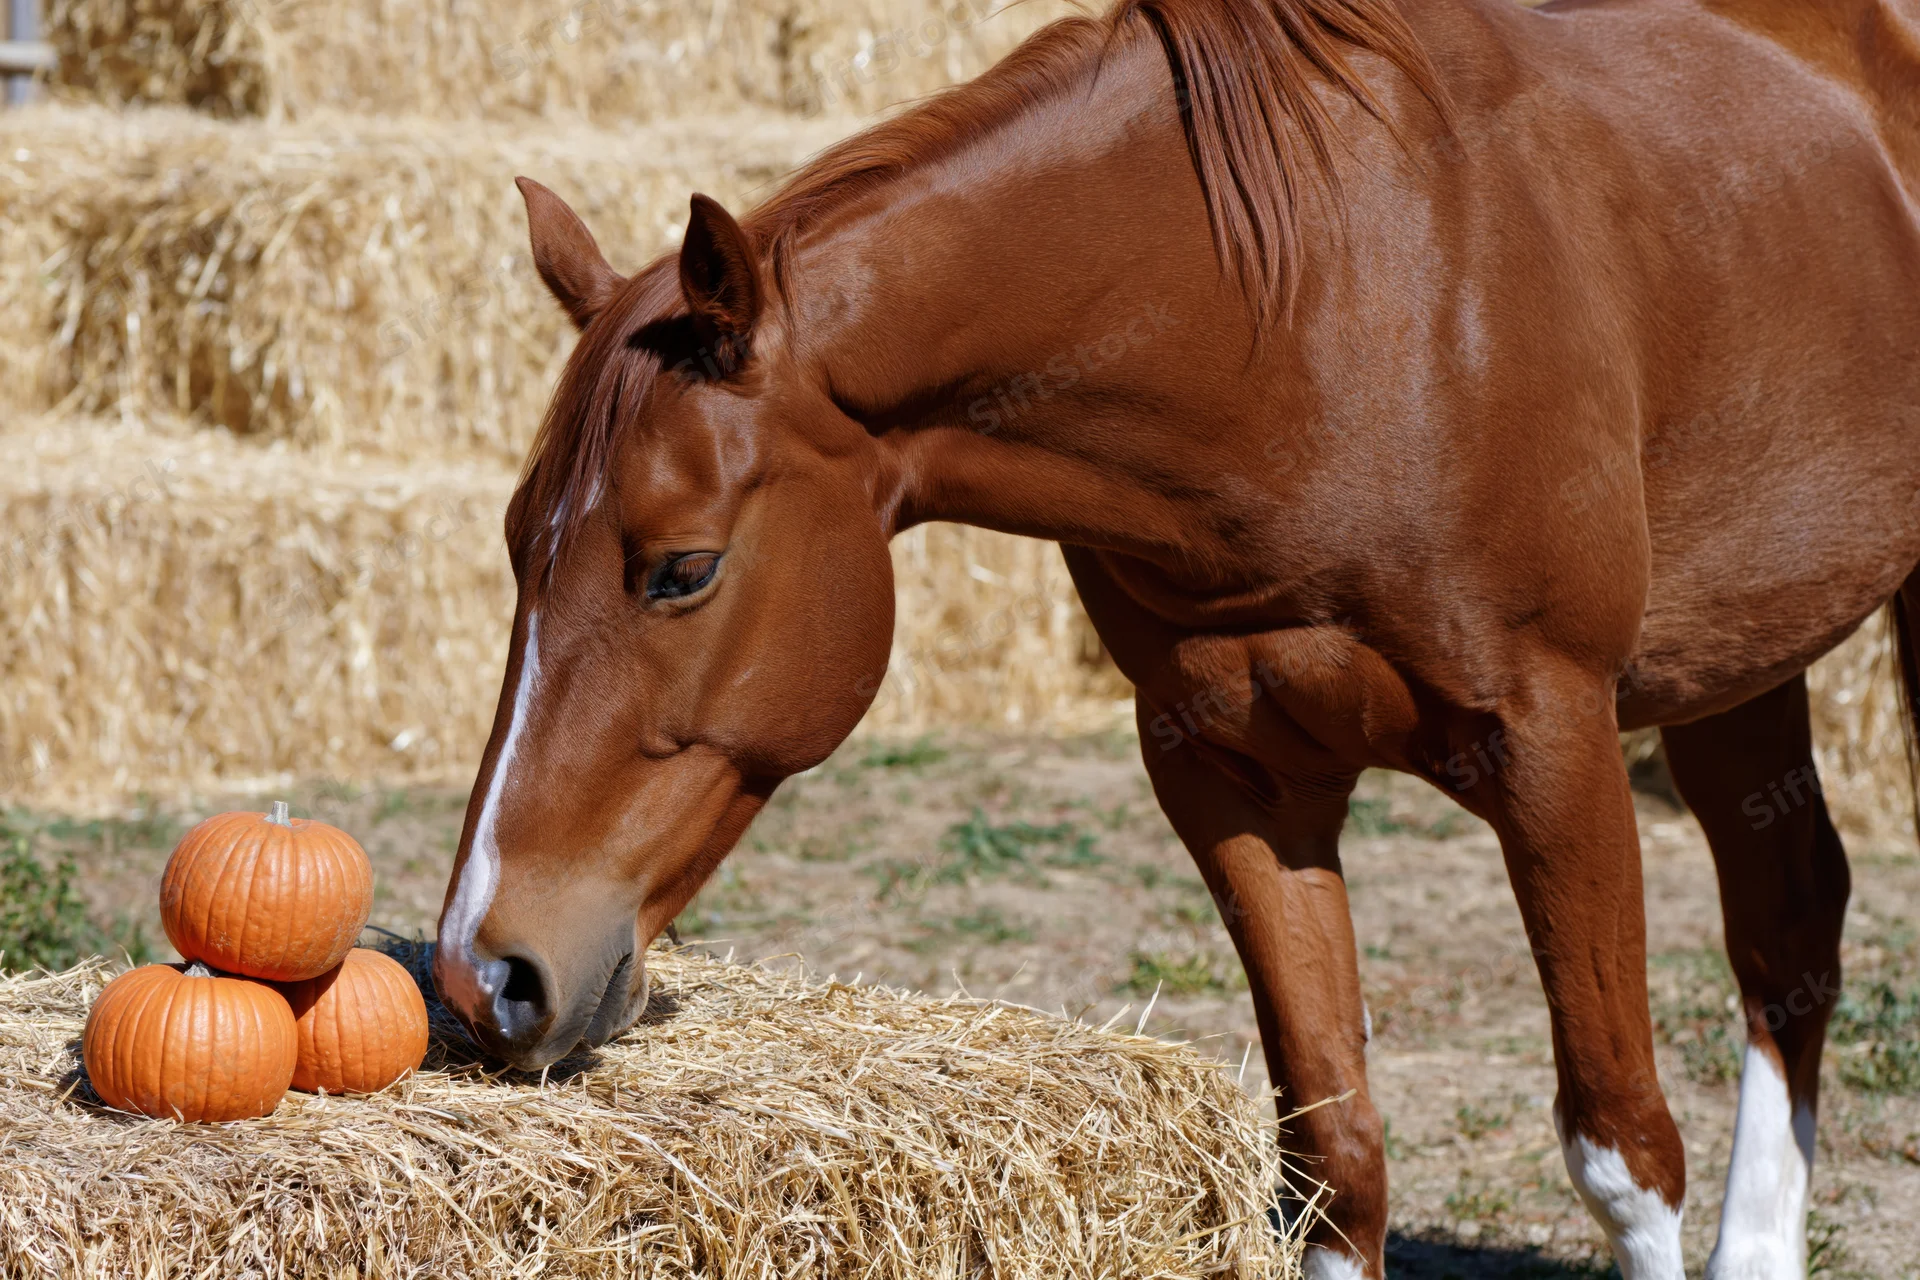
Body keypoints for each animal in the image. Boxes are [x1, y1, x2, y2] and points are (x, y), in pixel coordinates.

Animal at [430, 0, 1920, 1271]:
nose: (484, 970)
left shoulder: (1555, 746)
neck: (1318, 319)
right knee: (1790, 907)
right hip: (1735, 653)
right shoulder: (1232, 777)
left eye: (680, 568)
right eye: (512, 547)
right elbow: (1334, 1158)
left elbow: (1621, 1148)